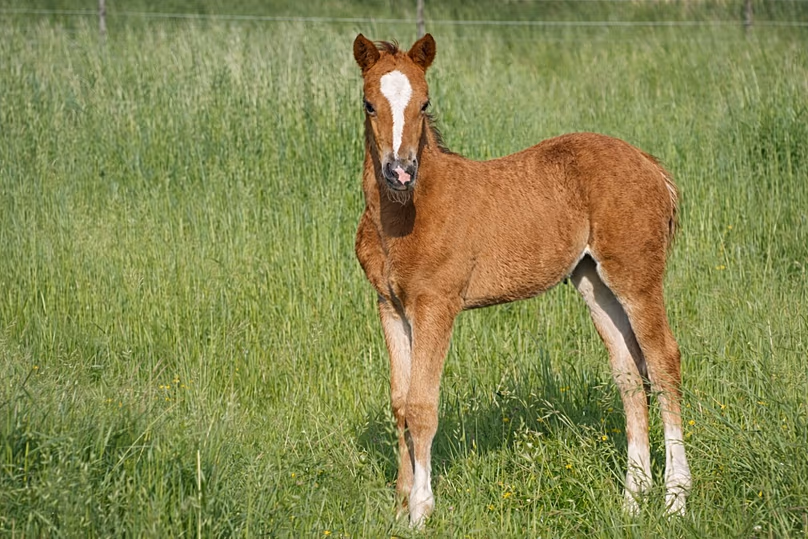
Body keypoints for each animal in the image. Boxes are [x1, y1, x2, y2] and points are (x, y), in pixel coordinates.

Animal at [352, 33, 691, 527]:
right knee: (629, 372)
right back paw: (632, 498)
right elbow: (399, 403)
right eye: (368, 104)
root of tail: (651, 166)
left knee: (664, 361)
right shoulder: (390, 306)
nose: (400, 171)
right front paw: (398, 508)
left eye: (425, 102)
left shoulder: (436, 304)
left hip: (637, 276)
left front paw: (420, 509)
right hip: (594, 283)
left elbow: (422, 406)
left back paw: (675, 499)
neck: (403, 215)